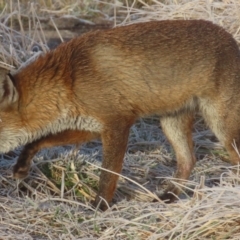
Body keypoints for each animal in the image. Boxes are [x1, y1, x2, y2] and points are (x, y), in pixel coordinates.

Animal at [0, 19, 239, 209]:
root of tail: (232, 39)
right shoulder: (88, 127)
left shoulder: (118, 123)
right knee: (188, 160)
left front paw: (98, 208)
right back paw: (169, 196)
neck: (71, 79)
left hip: (222, 128)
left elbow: (108, 176)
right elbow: (38, 141)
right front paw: (21, 167)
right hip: (172, 124)